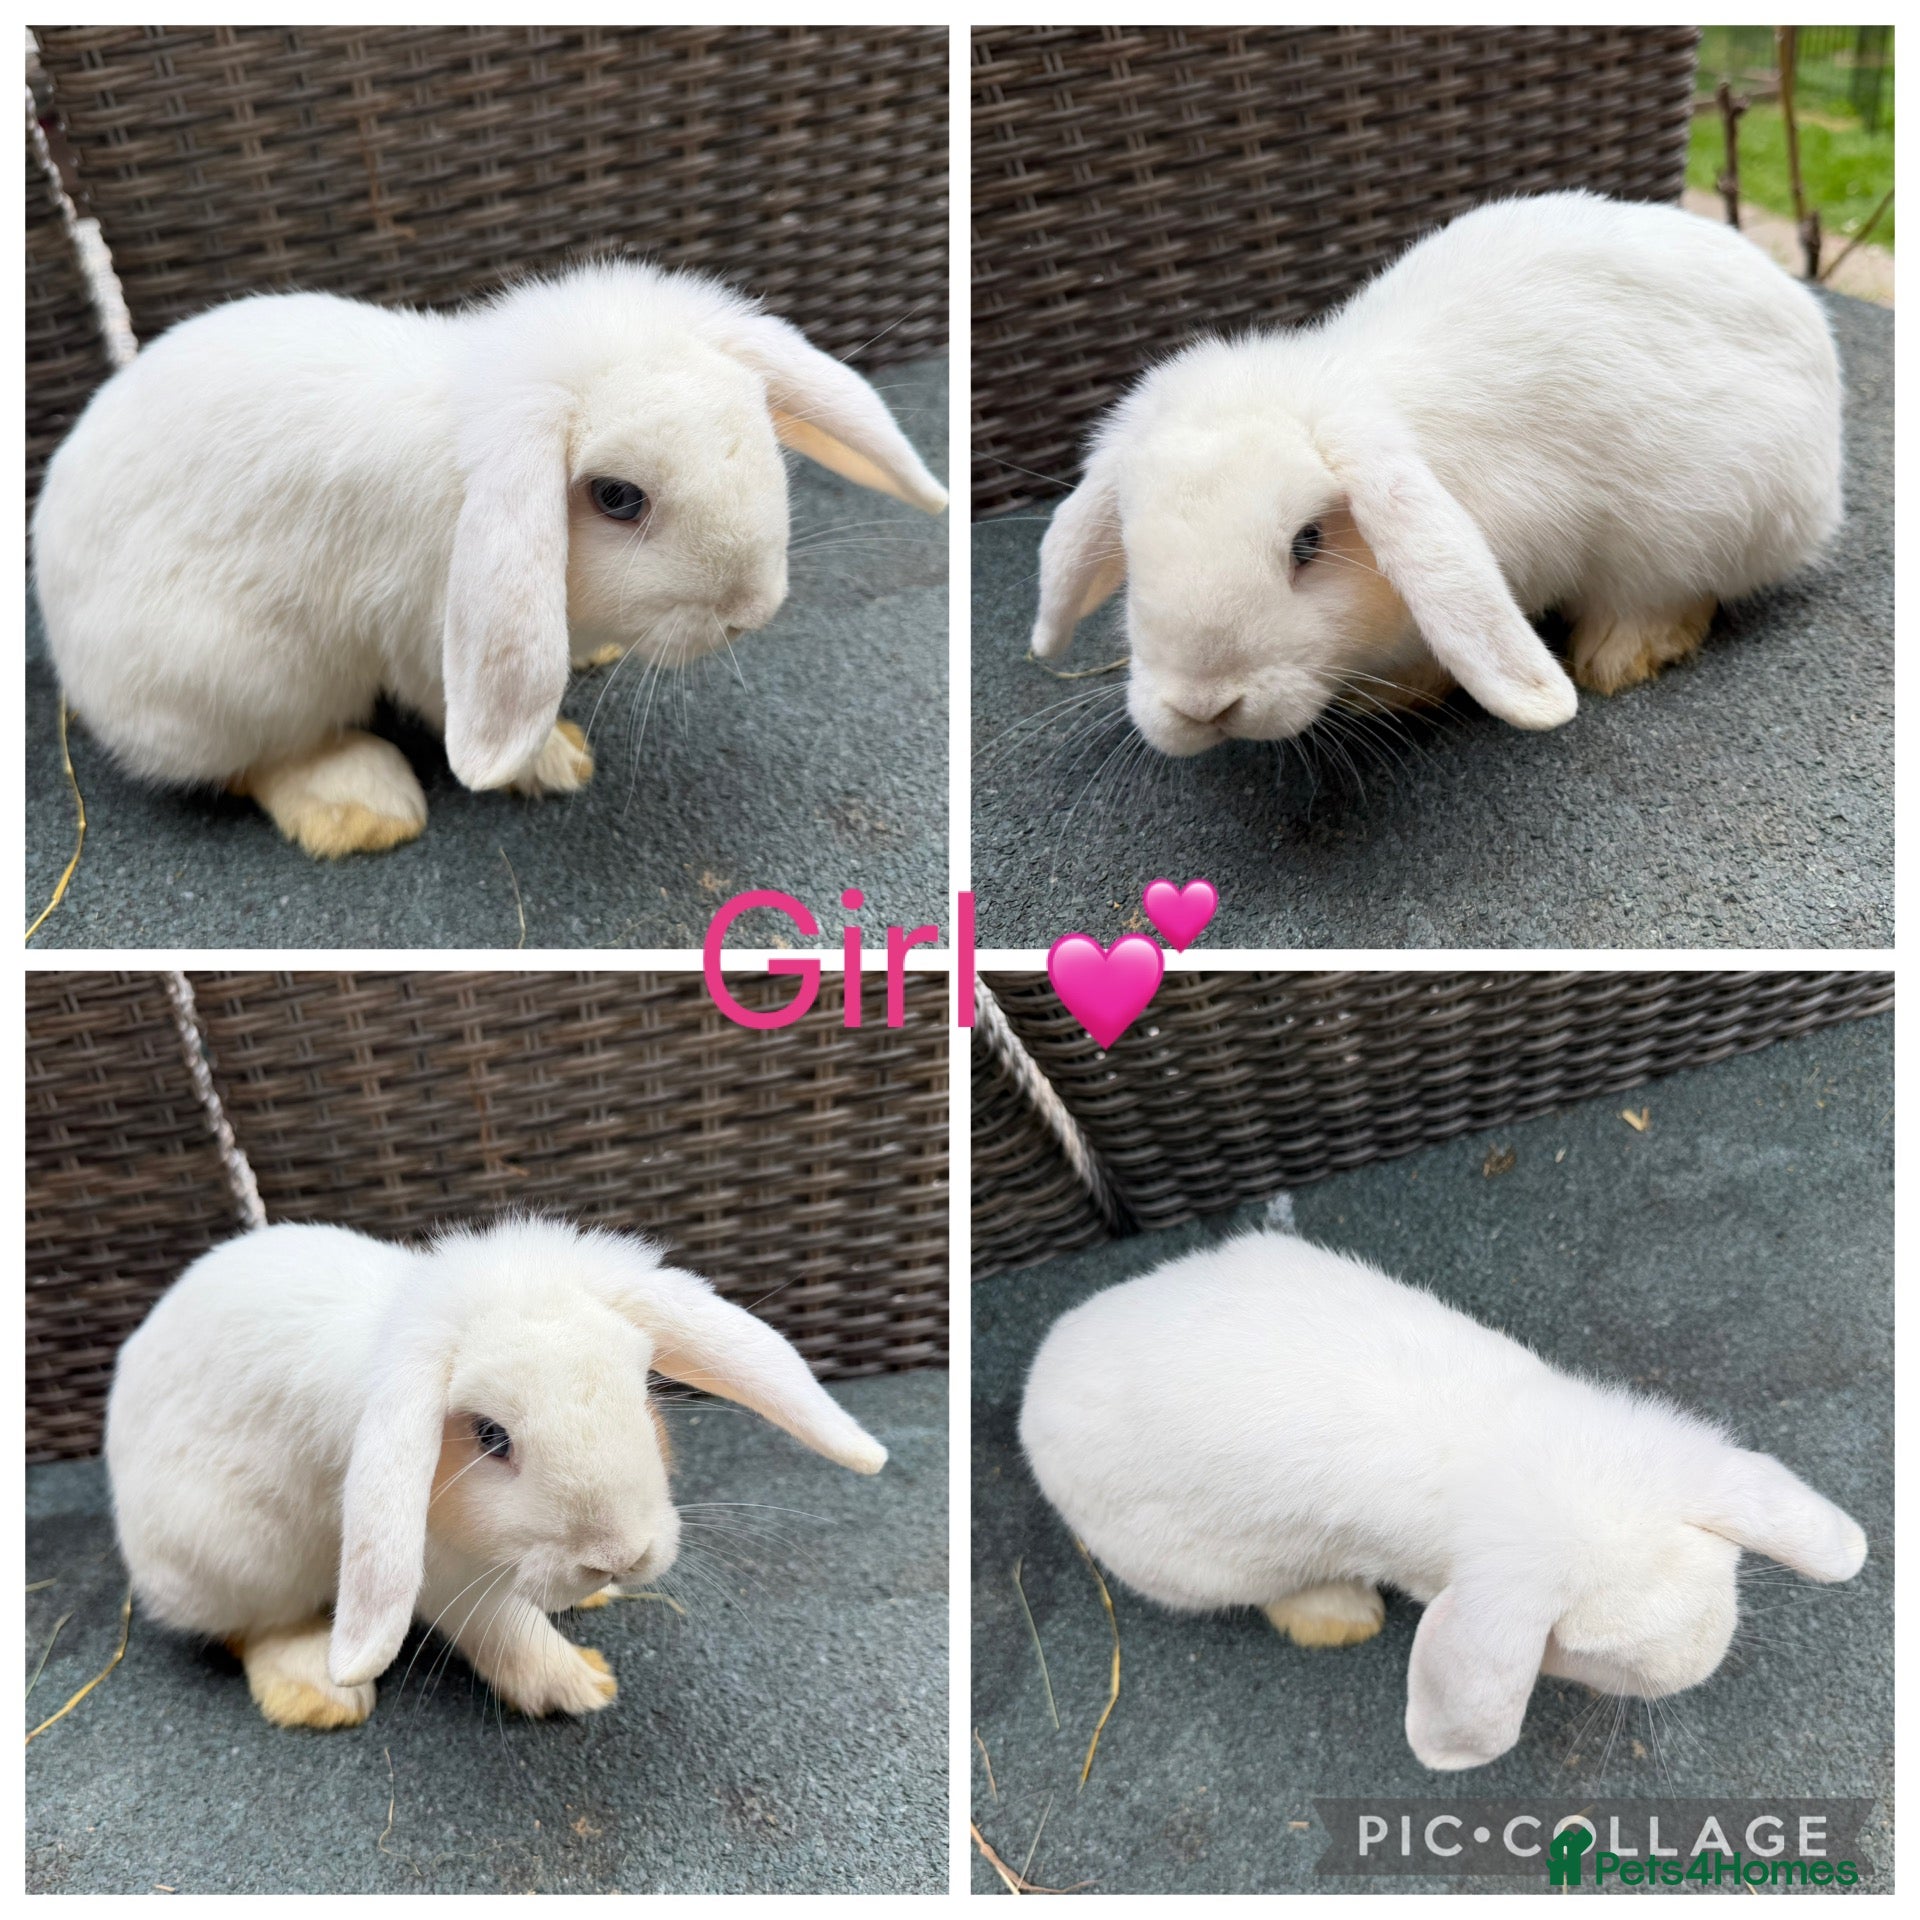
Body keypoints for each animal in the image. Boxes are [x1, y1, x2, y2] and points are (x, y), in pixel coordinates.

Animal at [32, 261, 947, 856]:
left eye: (755, 423)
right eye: (618, 497)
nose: (751, 610)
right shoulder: (428, 628)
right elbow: (449, 701)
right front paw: (554, 764)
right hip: (243, 671)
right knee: (256, 757)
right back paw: (363, 808)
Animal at [104, 1217, 886, 1730]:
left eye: (640, 1390)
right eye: (491, 1436)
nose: (618, 1556)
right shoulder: (436, 1566)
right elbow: (502, 1627)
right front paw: (579, 1684)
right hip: (237, 1549)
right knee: (252, 1626)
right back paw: (319, 1695)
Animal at [1019, 1230, 1866, 1771]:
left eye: (1728, 1568)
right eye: (1594, 1656)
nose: (1701, 1664)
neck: (1515, 1457)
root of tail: (1035, 1393)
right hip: (1202, 1565)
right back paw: (1339, 1617)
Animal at [1030, 192, 1843, 757]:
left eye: (1307, 544)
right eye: (1134, 555)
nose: (1205, 708)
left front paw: (1388, 696)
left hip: (1704, 522)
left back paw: (1619, 654)